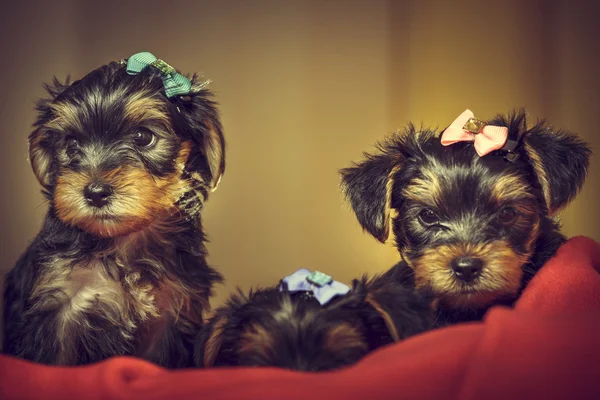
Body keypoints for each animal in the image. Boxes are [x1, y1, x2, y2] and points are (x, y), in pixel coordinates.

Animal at [2, 53, 226, 368]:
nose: (95, 193)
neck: (123, 242)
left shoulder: (172, 313)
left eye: (143, 137)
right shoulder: (56, 304)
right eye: (71, 143)